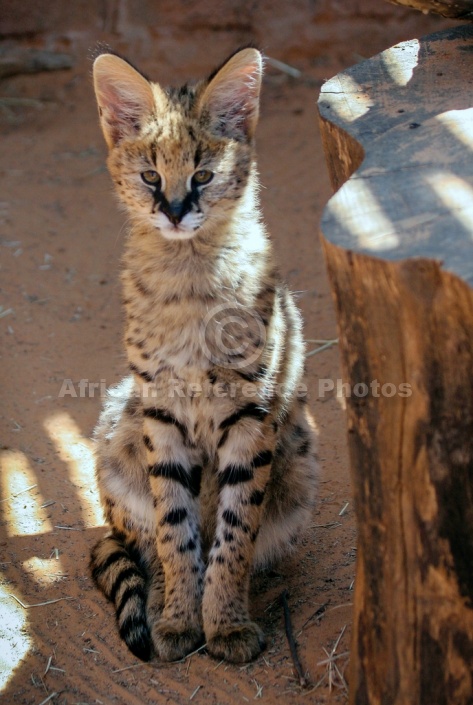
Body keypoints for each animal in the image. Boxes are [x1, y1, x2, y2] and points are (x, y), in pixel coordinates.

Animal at [88, 46, 318, 664]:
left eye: (203, 175)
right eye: (149, 175)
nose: (172, 211)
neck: (188, 276)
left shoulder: (250, 415)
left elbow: (235, 533)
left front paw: (227, 623)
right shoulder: (161, 412)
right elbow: (175, 529)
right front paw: (178, 618)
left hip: (299, 458)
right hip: (119, 424)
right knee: (139, 541)